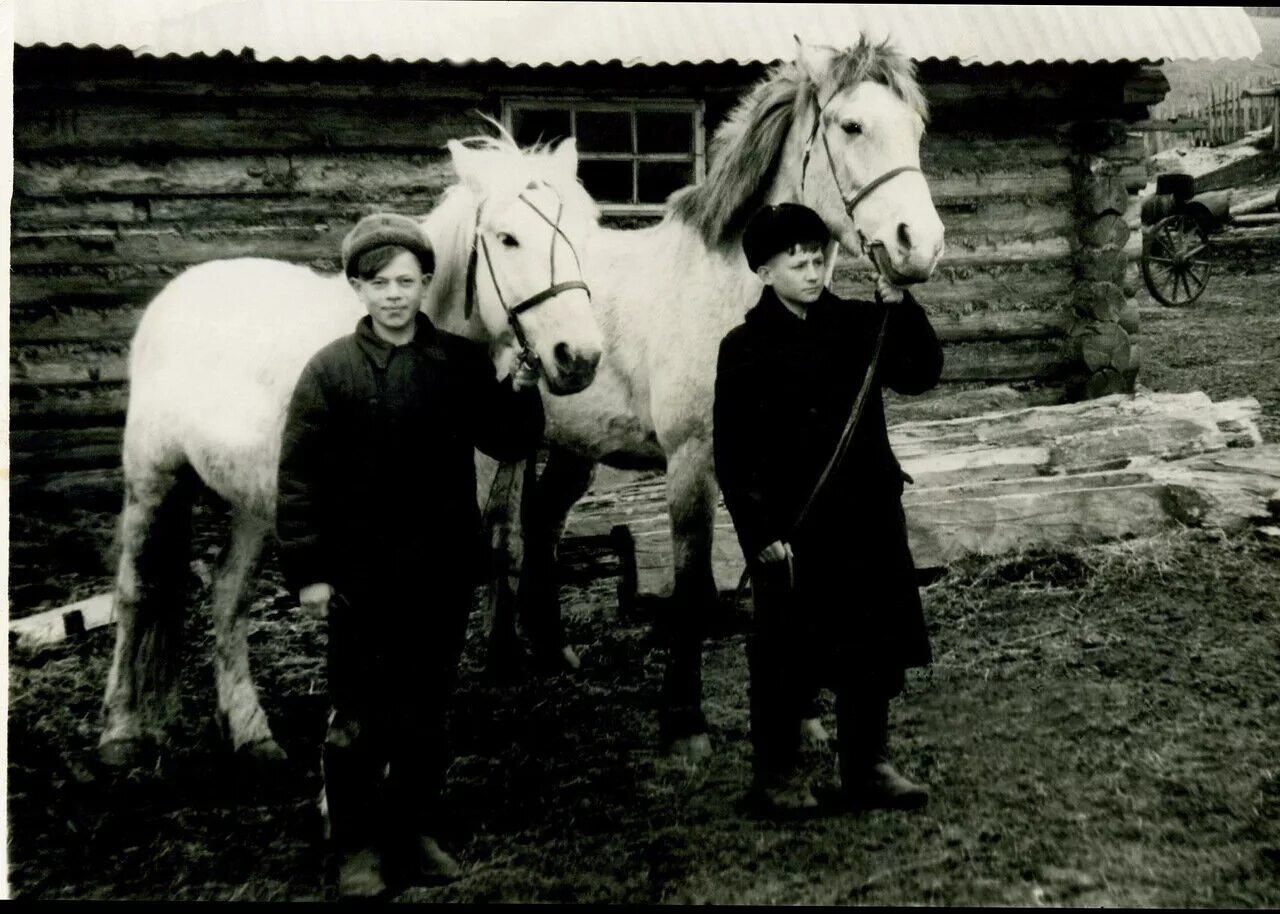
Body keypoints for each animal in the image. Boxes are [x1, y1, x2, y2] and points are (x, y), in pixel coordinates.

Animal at [99, 133, 604, 762]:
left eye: (583, 234)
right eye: (507, 238)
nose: (579, 357)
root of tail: (175, 293)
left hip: (255, 503)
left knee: (227, 595)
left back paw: (248, 729)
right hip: (154, 481)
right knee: (136, 591)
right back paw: (121, 729)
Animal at [504, 35, 947, 757]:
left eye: (916, 130)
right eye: (851, 126)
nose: (921, 246)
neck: (734, 298)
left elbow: (776, 572)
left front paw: (801, 715)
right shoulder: (693, 465)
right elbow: (694, 583)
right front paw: (684, 720)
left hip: (576, 445)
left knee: (541, 519)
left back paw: (549, 650)